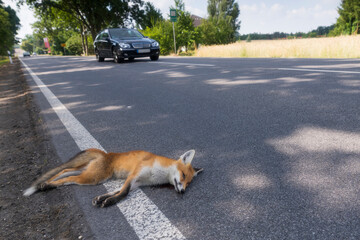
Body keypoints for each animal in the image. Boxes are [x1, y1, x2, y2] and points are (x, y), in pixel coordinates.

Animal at [23, 147, 202, 207]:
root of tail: (105, 154)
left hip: (84, 171)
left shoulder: (137, 183)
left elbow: (116, 191)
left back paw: (47, 182)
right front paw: (110, 202)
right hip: (92, 178)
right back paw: (46, 185)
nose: (183, 191)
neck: (157, 174)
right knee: (66, 180)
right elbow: (123, 193)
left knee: (63, 172)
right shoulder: (134, 175)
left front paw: (102, 198)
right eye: (183, 175)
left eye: (189, 183)